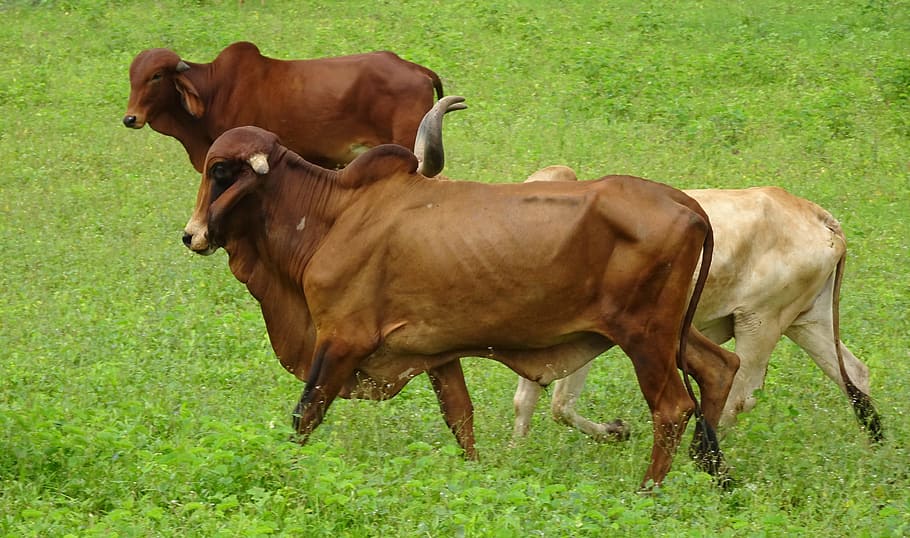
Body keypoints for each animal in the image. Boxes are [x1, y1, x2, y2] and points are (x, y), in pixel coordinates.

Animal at [179, 109, 740, 488]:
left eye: (221, 171)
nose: (191, 235)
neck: (333, 216)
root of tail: (683, 202)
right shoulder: (433, 351)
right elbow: (460, 418)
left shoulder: (340, 340)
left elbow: (305, 415)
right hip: (672, 331)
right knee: (719, 368)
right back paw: (715, 477)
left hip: (645, 336)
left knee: (673, 407)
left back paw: (650, 492)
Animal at [513, 165, 882, 446]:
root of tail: (817, 215)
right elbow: (531, 400)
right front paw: (517, 453)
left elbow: (558, 403)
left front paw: (617, 430)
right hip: (806, 321)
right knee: (854, 374)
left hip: (760, 322)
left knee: (740, 395)